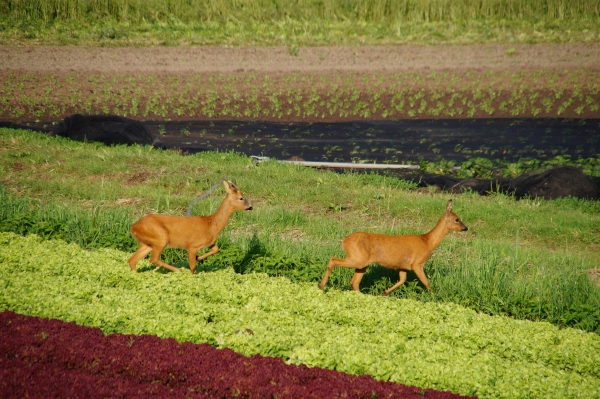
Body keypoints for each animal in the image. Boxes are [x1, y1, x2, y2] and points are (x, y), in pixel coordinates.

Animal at [318, 202, 468, 296]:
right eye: (457, 219)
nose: (465, 228)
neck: (428, 241)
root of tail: (344, 241)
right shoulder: (417, 263)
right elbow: (426, 282)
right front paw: (434, 296)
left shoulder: (403, 266)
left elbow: (402, 280)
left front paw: (384, 293)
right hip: (358, 258)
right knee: (333, 260)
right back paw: (321, 286)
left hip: (362, 262)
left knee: (354, 282)